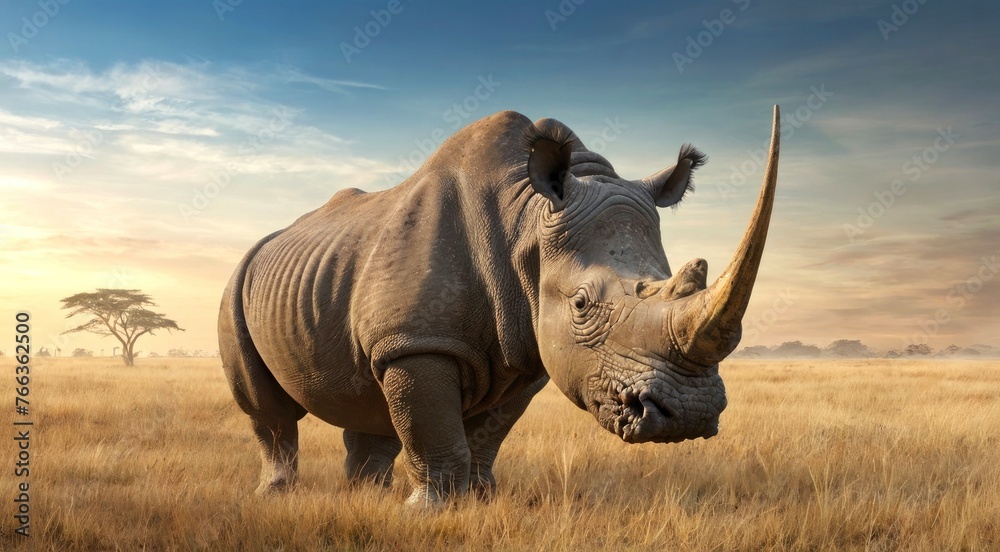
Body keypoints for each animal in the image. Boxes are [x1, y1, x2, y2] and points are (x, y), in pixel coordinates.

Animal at [219, 107, 780, 504]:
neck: (526, 219)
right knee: (269, 413)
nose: (687, 415)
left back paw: (366, 496)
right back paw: (277, 495)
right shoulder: (418, 341)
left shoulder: (526, 351)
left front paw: (481, 499)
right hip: (236, 288)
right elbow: (433, 429)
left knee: (370, 394)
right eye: (581, 304)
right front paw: (430, 511)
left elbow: (489, 433)